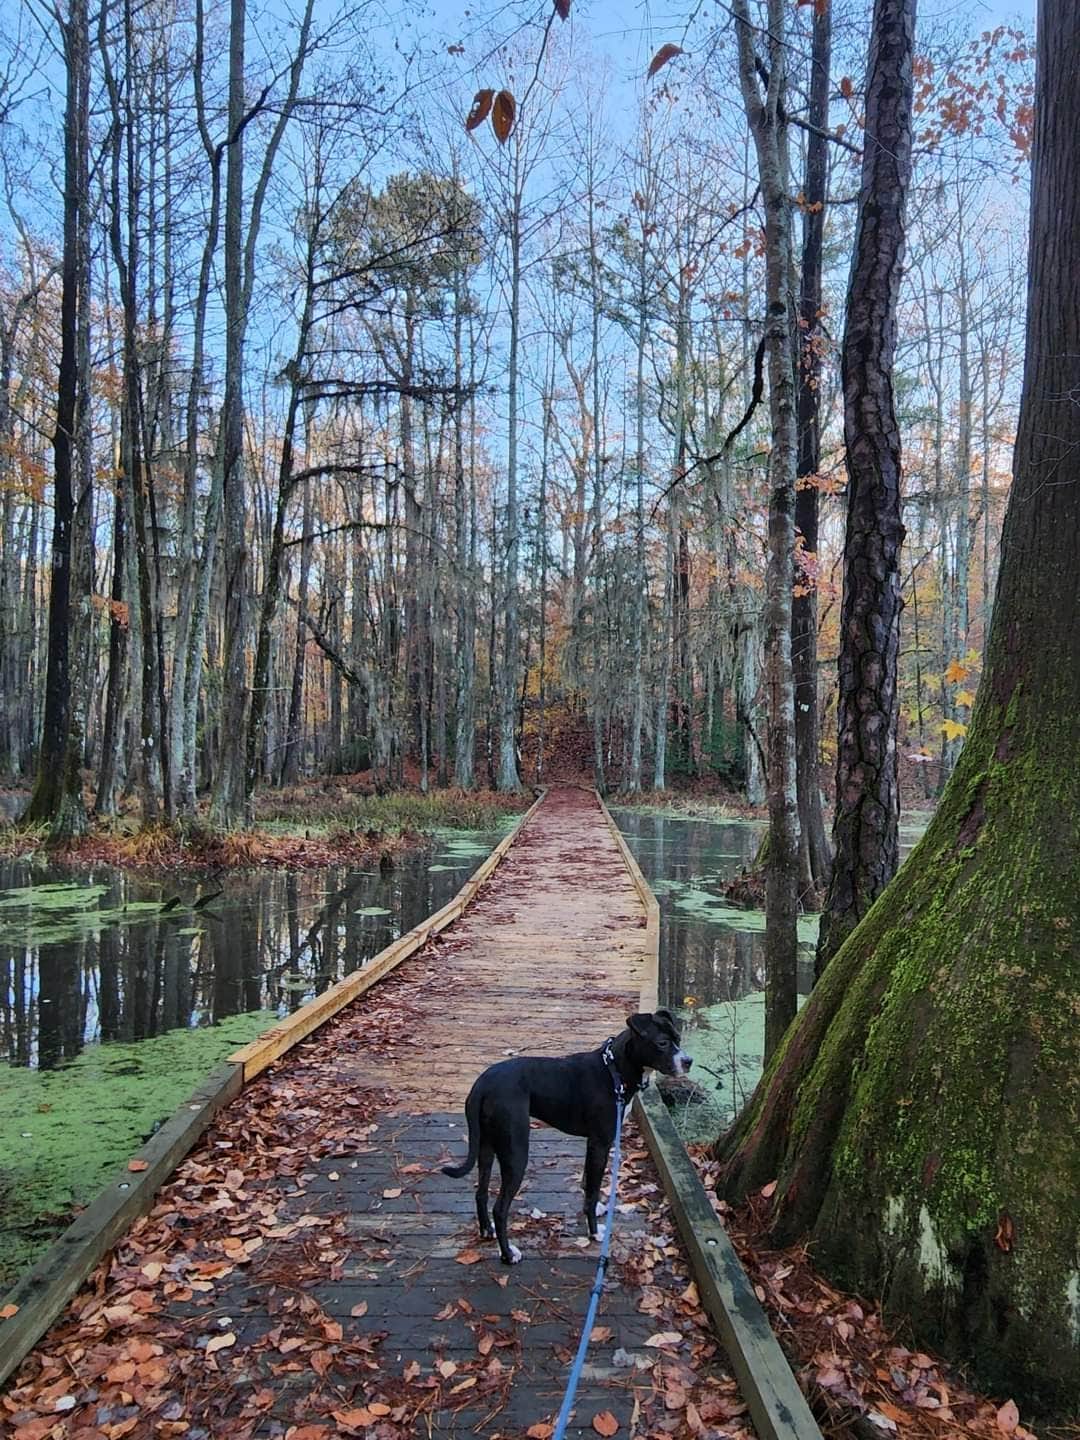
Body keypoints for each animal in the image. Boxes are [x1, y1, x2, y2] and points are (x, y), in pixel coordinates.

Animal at [440, 1008, 688, 1267]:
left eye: (679, 1039)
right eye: (662, 1043)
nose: (688, 1061)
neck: (614, 1070)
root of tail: (481, 1085)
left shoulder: (593, 1144)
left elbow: (588, 1184)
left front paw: (595, 1209)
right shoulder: (600, 1143)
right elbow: (592, 1190)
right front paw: (594, 1232)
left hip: (486, 1146)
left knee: (480, 1193)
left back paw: (486, 1231)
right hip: (515, 1152)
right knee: (500, 1209)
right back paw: (508, 1254)